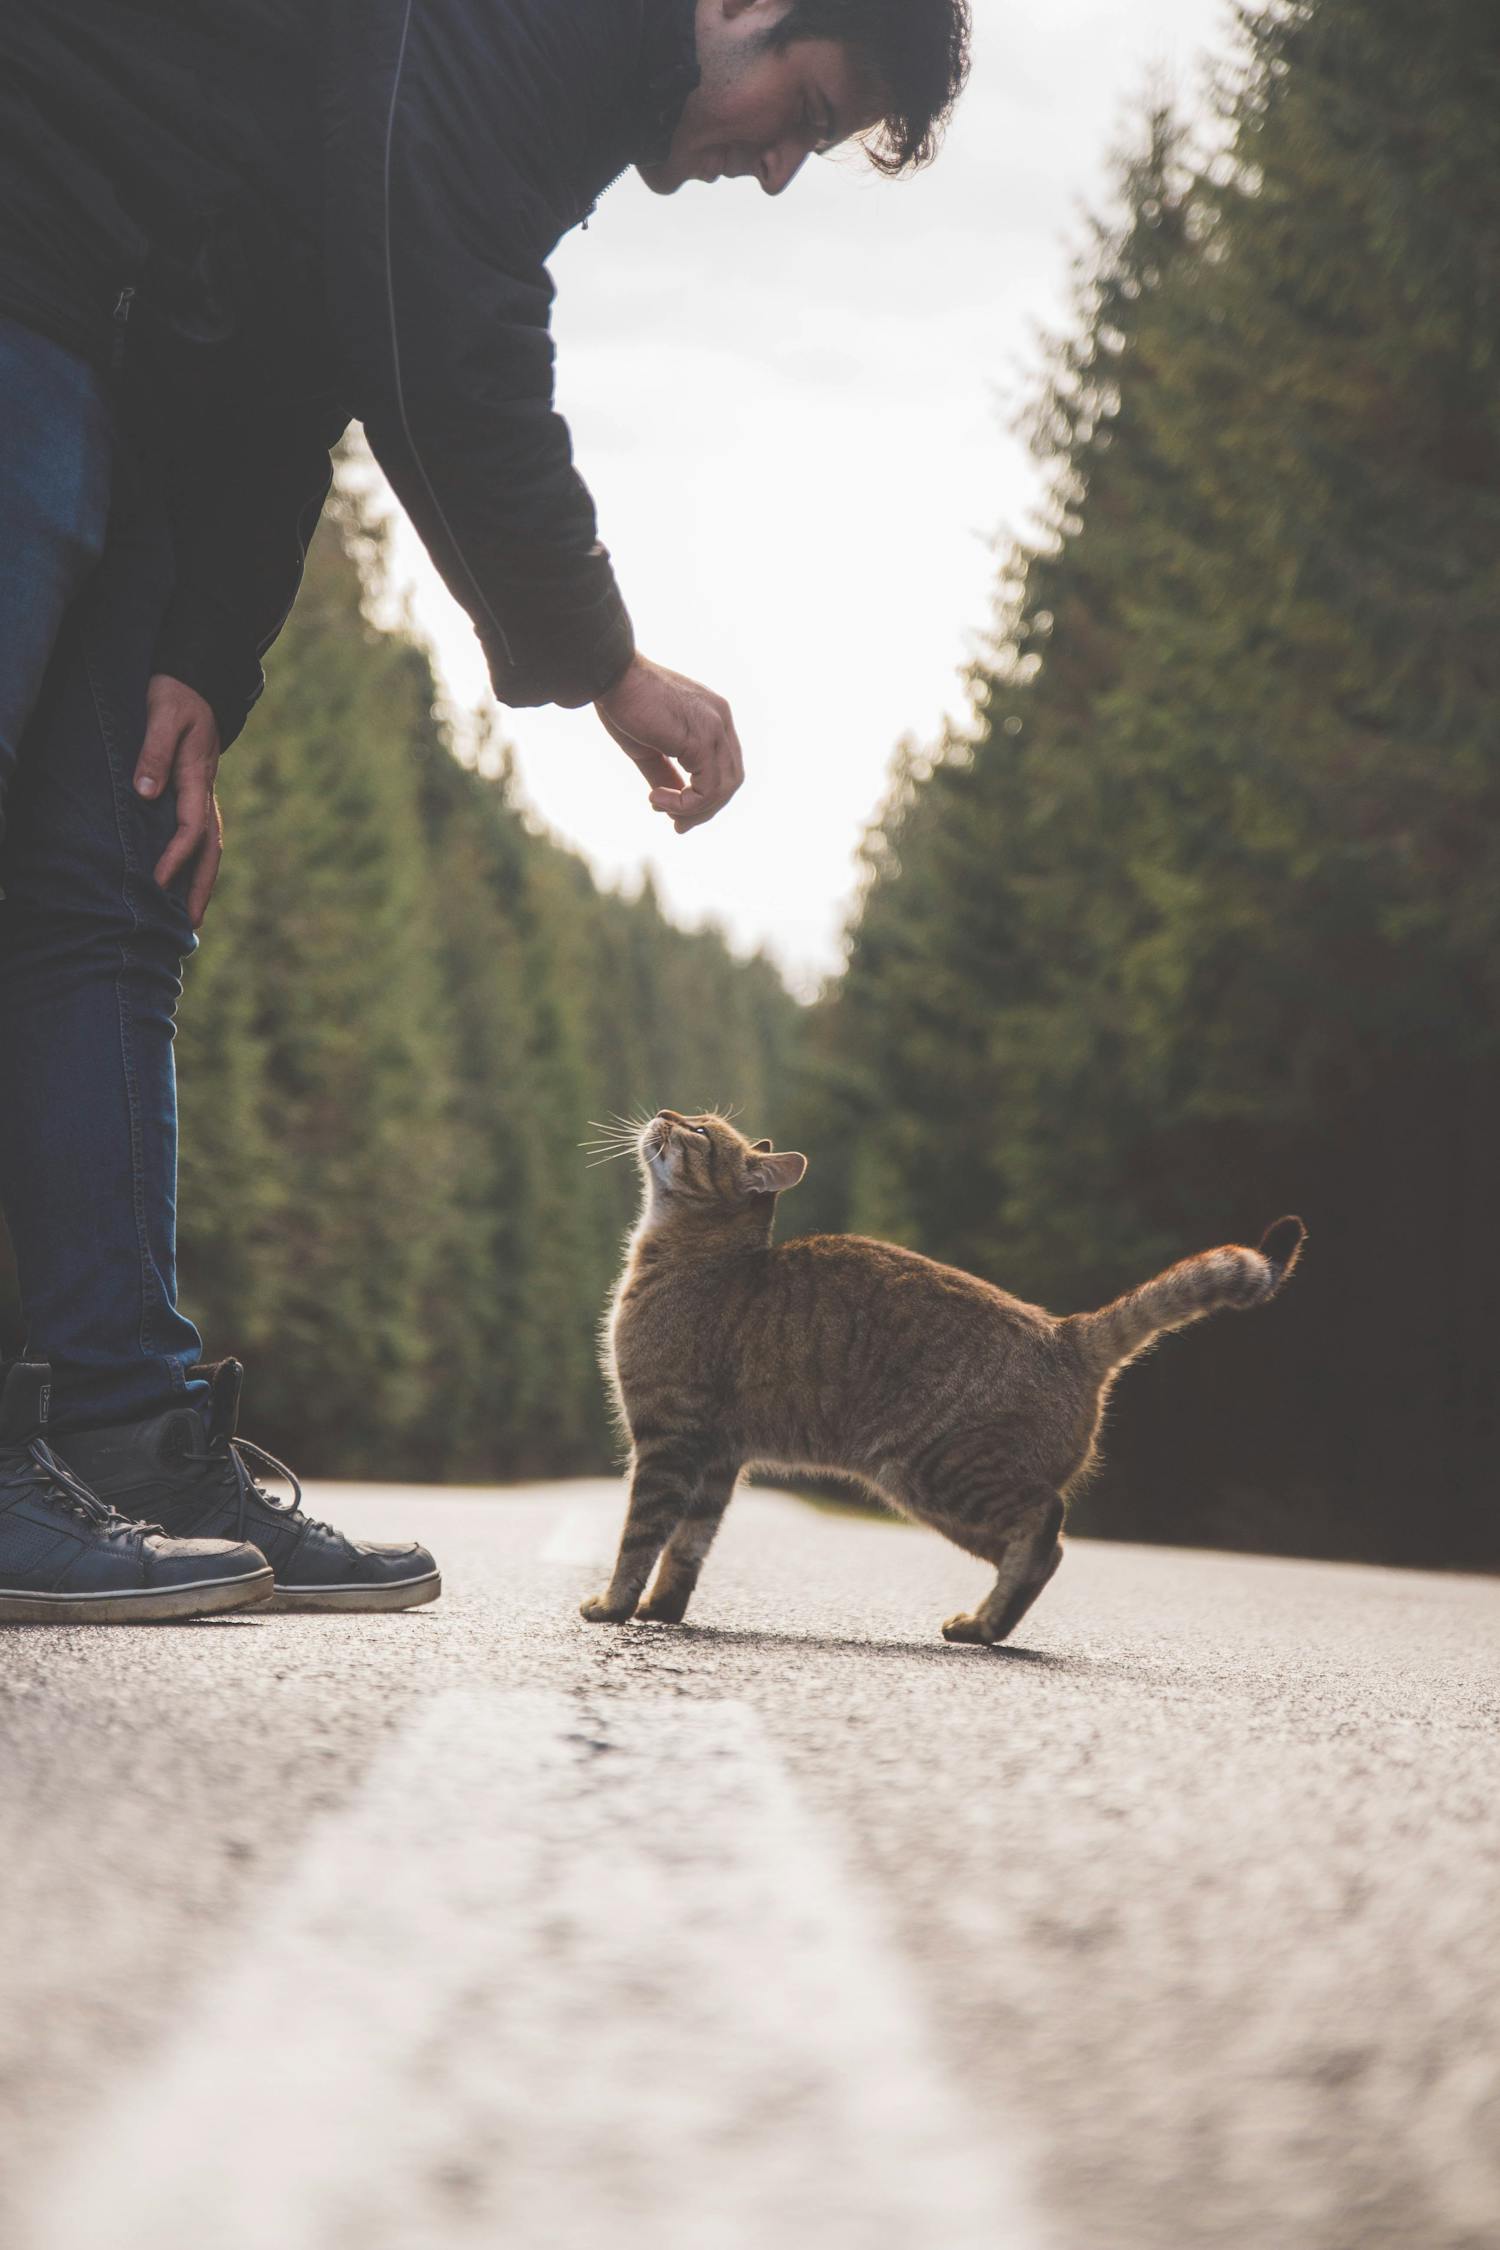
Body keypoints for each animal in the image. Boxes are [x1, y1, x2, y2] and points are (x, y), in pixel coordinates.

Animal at [584, 1116, 1304, 1647]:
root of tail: (1066, 1332)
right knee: (1048, 1550)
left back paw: (986, 1624)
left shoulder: (669, 1439)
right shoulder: (717, 1459)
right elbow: (688, 1547)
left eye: (699, 1132)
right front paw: (661, 1610)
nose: (665, 1112)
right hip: (941, 1499)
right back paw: (984, 1624)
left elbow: (641, 1536)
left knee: (1045, 1522)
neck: (692, 1256)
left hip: (936, 1472)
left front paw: (614, 1605)